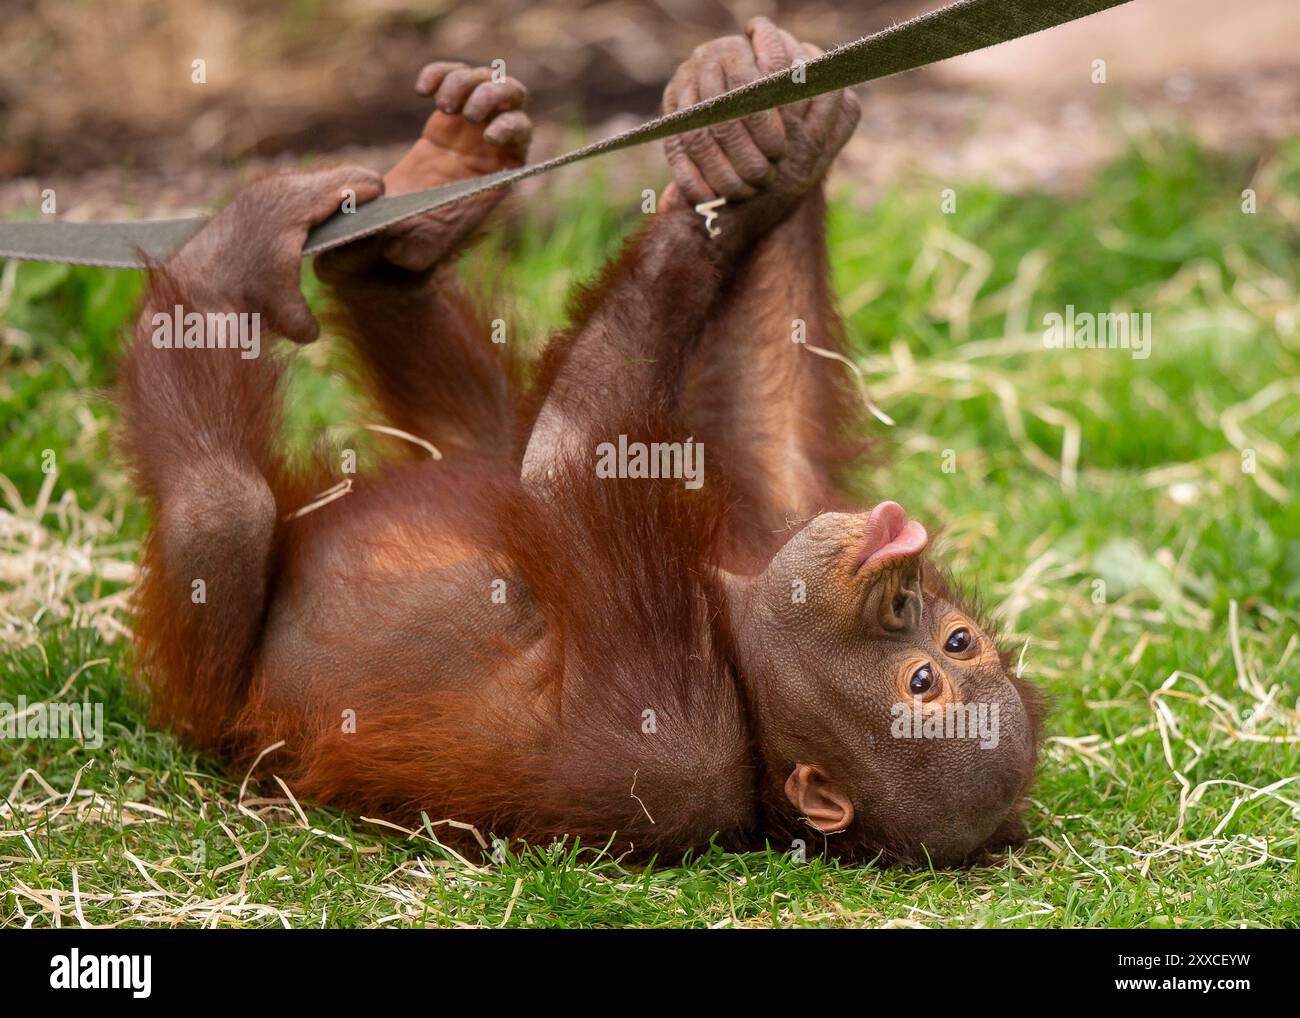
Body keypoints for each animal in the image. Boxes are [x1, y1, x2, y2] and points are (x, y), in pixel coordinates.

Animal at [118, 18, 1044, 866]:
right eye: (956, 642)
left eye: (925, 679)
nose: (901, 580)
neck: (735, 644)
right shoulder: (783, 527)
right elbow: (774, 416)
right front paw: (775, 128)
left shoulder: (675, 737)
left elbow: (568, 451)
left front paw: (730, 183)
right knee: (483, 433)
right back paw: (424, 206)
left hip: (213, 695)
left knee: (222, 508)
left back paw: (223, 262)